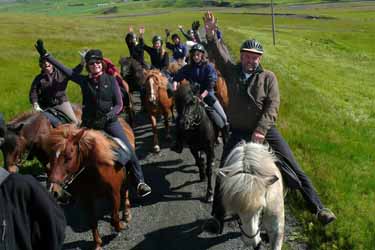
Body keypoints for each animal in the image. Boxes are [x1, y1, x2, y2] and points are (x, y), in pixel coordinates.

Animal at [46, 120, 135, 250]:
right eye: (51, 157)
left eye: (68, 157)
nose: (54, 190)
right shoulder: (86, 199)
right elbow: (92, 221)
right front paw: (97, 244)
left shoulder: (114, 193)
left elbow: (114, 217)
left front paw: (121, 226)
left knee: (125, 191)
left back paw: (127, 214)